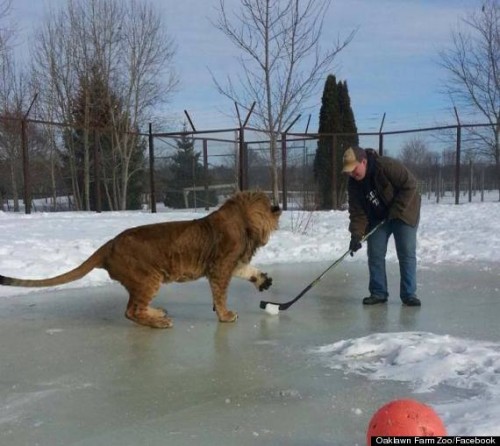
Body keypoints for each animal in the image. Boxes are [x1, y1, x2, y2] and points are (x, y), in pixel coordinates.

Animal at [0, 192, 282, 328]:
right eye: (268, 205)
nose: (278, 207)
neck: (243, 220)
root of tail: (109, 244)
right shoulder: (220, 267)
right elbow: (221, 294)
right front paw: (225, 316)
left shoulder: (229, 264)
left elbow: (247, 270)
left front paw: (263, 280)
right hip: (149, 278)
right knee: (130, 311)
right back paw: (160, 322)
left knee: (135, 308)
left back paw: (158, 312)